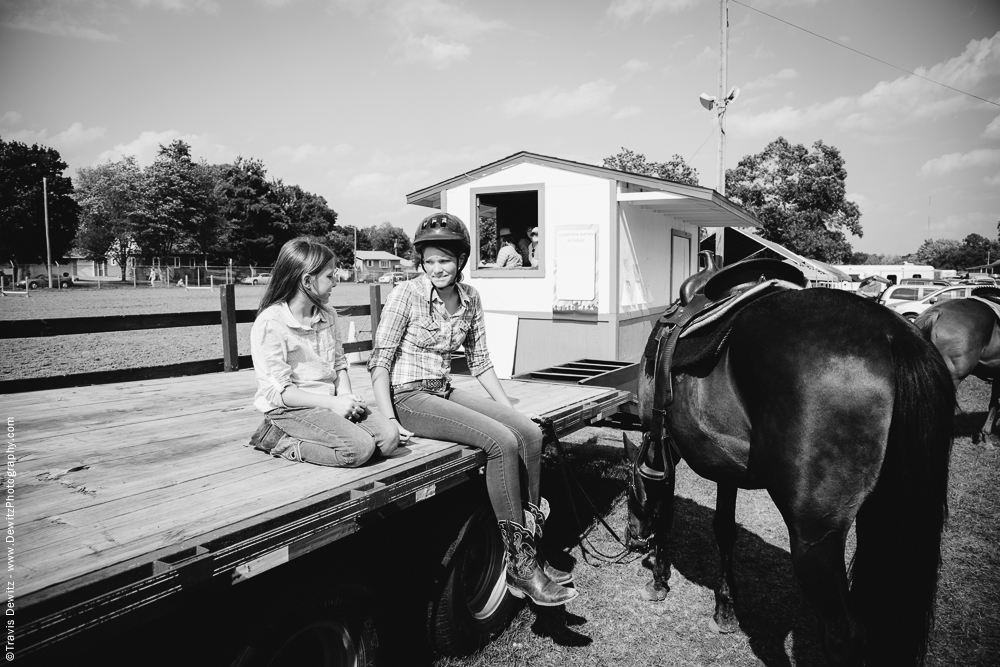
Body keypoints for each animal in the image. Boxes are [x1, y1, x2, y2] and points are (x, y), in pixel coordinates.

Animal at [624, 280, 952, 664]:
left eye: (629, 490)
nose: (632, 540)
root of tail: (893, 333)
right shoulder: (726, 467)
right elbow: (724, 530)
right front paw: (725, 610)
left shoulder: (662, 446)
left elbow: (665, 512)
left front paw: (659, 581)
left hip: (813, 539)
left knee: (844, 635)